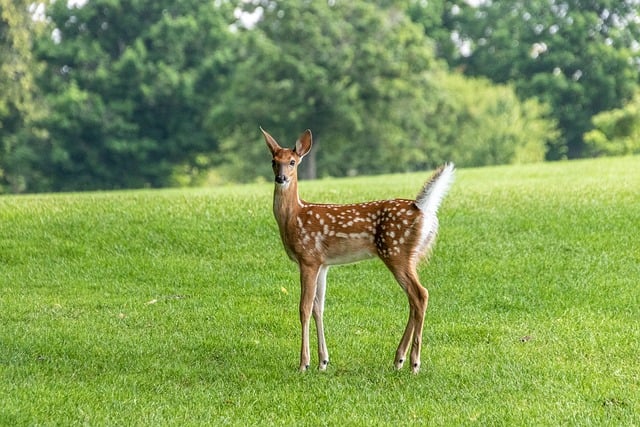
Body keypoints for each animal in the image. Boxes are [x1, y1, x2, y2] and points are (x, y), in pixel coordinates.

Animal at [262, 128, 456, 374]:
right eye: (273, 161)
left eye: (292, 162)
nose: (281, 178)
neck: (294, 216)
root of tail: (422, 209)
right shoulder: (323, 264)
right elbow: (318, 307)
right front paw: (323, 362)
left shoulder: (308, 258)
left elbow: (304, 308)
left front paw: (304, 363)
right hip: (411, 256)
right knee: (414, 300)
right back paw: (399, 359)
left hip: (396, 252)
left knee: (420, 294)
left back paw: (414, 363)